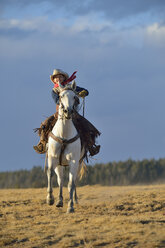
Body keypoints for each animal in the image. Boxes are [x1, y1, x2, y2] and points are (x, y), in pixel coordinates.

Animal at [46, 80, 84, 212]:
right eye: (61, 96)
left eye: (74, 97)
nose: (68, 111)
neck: (64, 134)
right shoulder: (52, 157)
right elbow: (50, 173)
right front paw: (50, 199)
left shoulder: (74, 161)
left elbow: (71, 183)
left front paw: (70, 206)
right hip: (60, 164)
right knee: (60, 180)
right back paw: (59, 201)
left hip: (78, 163)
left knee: (73, 181)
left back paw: (75, 200)